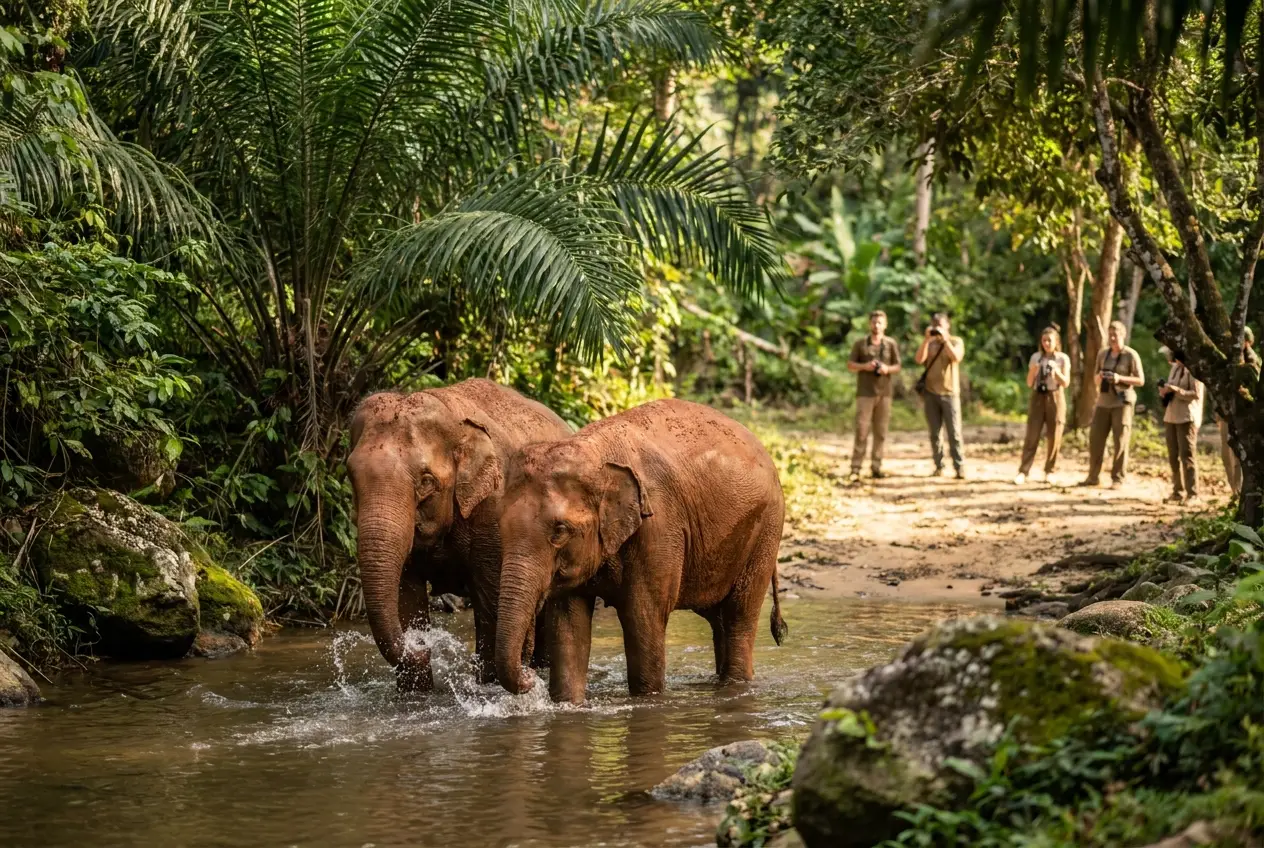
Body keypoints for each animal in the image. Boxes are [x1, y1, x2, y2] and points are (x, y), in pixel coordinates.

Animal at [346, 378, 571, 690]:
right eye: (350, 476)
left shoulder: (494, 510)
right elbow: (405, 597)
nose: (422, 646)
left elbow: (493, 602)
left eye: (426, 481)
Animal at [494, 398, 787, 703]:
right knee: (718, 620)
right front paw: (568, 704)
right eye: (500, 525)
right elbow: (568, 626)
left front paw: (649, 701)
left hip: (766, 530)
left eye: (560, 531)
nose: (529, 675)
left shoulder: (659, 525)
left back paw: (736, 685)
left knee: (738, 617)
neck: (595, 454)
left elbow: (643, 617)